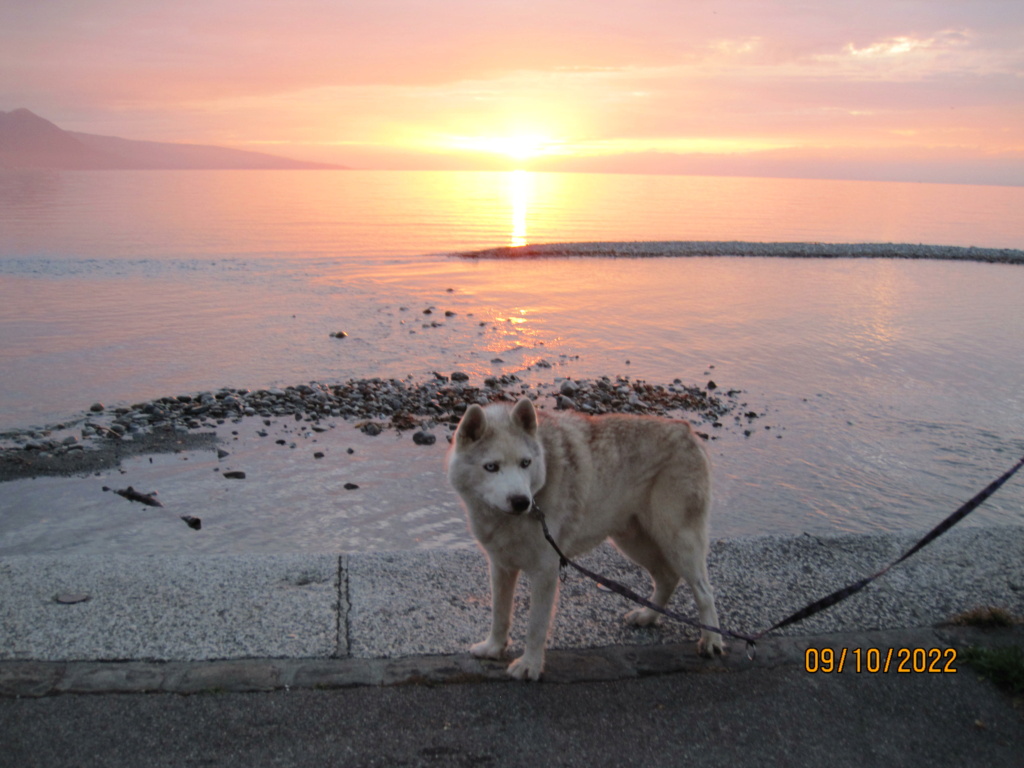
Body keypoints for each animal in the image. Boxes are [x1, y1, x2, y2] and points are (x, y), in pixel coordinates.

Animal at [446, 399, 720, 684]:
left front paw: (530, 665)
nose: (521, 501)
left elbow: (535, 626)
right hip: (632, 542)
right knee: (668, 578)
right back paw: (648, 616)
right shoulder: (501, 567)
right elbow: (500, 614)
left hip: (678, 542)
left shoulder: (545, 572)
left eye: (525, 463)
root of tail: (685, 429)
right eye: (491, 467)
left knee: (704, 590)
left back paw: (712, 639)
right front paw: (494, 648)